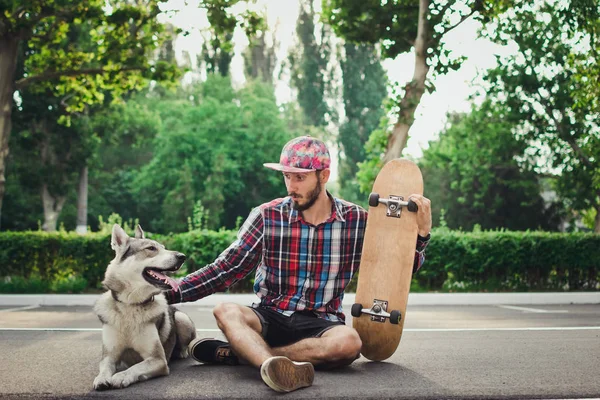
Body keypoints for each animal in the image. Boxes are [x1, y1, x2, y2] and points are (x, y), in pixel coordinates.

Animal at [93, 225, 197, 390]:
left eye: (164, 247)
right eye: (151, 248)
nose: (182, 256)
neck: (131, 306)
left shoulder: (158, 359)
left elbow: (135, 367)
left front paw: (121, 376)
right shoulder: (109, 356)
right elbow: (104, 368)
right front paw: (101, 378)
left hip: (181, 319)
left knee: (183, 344)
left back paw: (180, 352)